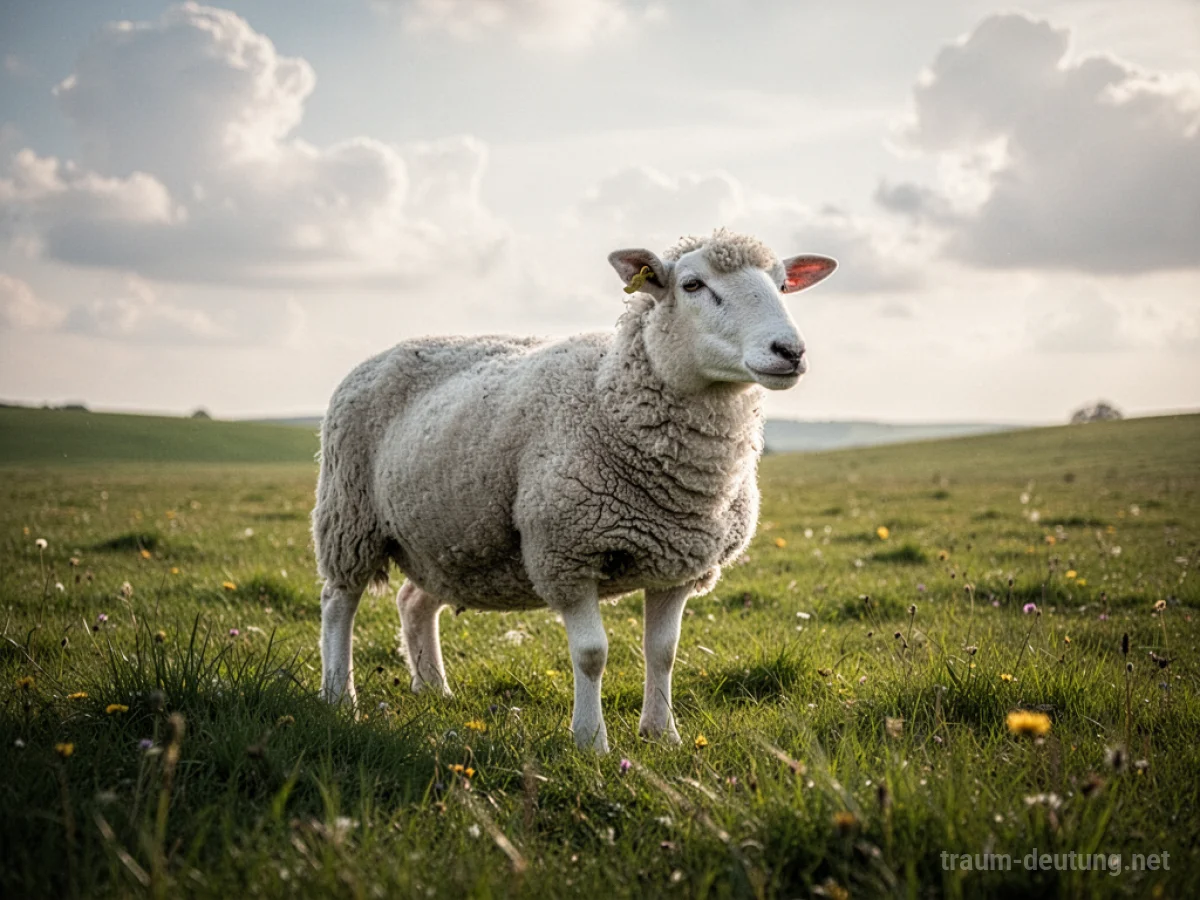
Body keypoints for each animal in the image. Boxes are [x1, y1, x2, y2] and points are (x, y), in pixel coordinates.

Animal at [313, 228, 836, 752]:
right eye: (692, 284)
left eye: (783, 284)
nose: (790, 351)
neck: (610, 396)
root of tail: (389, 351)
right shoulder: (566, 553)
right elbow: (591, 653)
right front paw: (590, 742)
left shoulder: (677, 565)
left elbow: (663, 651)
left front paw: (662, 735)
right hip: (349, 515)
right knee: (339, 602)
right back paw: (340, 697)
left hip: (446, 540)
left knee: (413, 602)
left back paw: (434, 689)